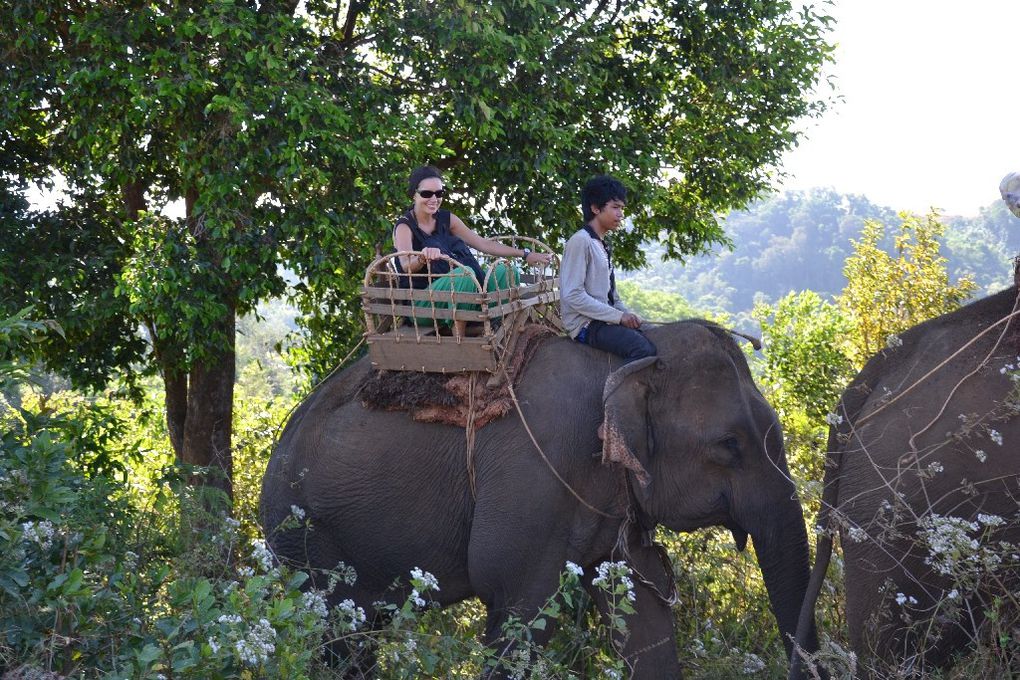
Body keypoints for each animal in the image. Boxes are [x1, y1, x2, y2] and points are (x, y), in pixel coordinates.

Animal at [261, 322, 820, 676]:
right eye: (730, 445)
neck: (633, 352)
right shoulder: (535, 473)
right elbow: (520, 607)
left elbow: (643, 610)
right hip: (310, 535)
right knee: (338, 633)